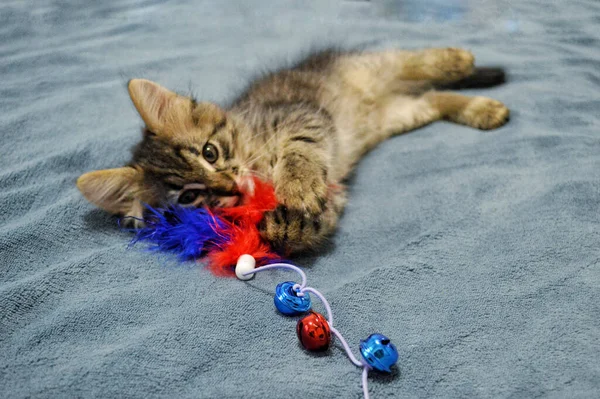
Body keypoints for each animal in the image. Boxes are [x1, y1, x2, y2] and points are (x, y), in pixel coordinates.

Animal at [77, 48, 508, 255]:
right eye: (188, 197)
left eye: (210, 152)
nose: (229, 185)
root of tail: (382, 95)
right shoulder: (334, 189)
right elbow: (318, 216)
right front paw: (287, 225)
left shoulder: (301, 117)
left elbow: (299, 150)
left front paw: (296, 186)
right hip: (401, 112)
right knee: (434, 97)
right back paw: (484, 109)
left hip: (374, 68)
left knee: (408, 58)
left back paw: (456, 59)